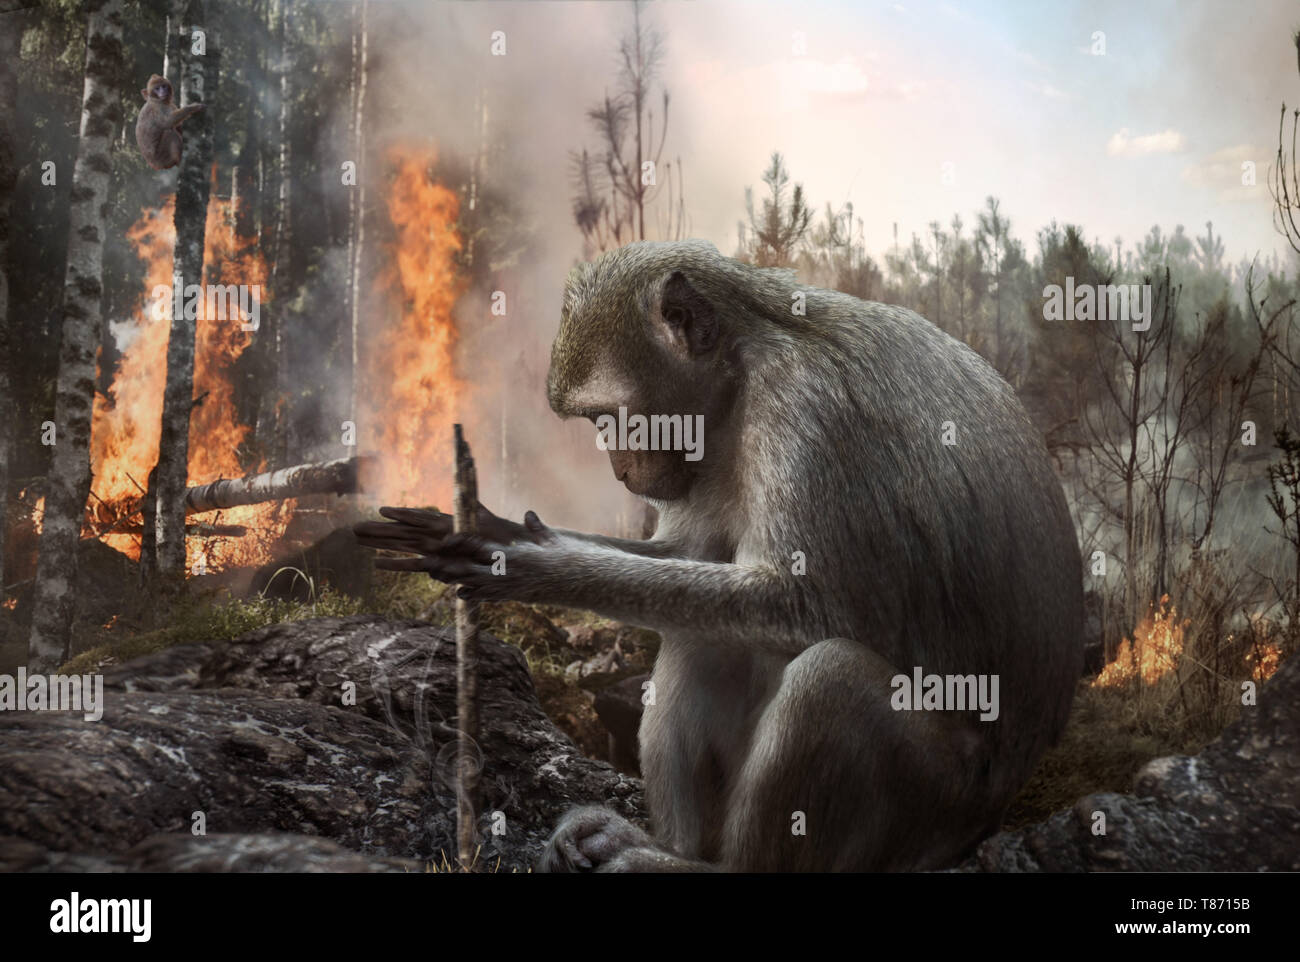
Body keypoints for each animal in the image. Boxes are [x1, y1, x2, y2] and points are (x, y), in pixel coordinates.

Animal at [356, 240, 1086, 873]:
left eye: (608, 418)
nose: (621, 470)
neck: (747, 360)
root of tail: (994, 813)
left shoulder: (802, 409)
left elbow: (804, 603)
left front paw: (526, 566)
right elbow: (682, 555)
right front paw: (498, 527)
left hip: (936, 811)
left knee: (831, 677)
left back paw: (716, 868)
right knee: (700, 634)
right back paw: (673, 846)